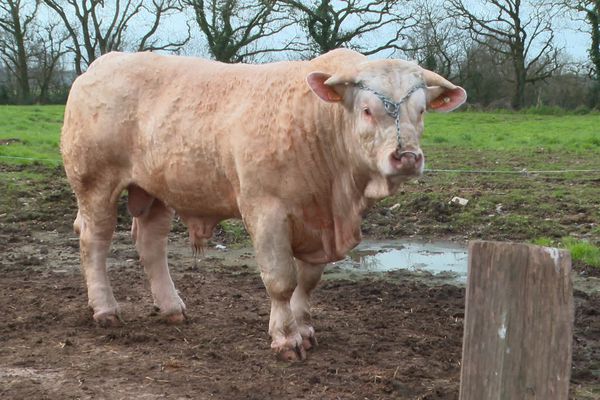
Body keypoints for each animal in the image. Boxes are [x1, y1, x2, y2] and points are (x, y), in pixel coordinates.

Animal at [61, 48, 464, 360]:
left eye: (421, 111)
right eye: (367, 110)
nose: (407, 157)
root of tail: (102, 63)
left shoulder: (316, 223)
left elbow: (308, 282)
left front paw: (304, 330)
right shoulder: (266, 210)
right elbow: (281, 281)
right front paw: (286, 339)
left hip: (156, 190)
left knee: (151, 244)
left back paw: (172, 307)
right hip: (94, 182)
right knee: (94, 241)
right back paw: (105, 309)